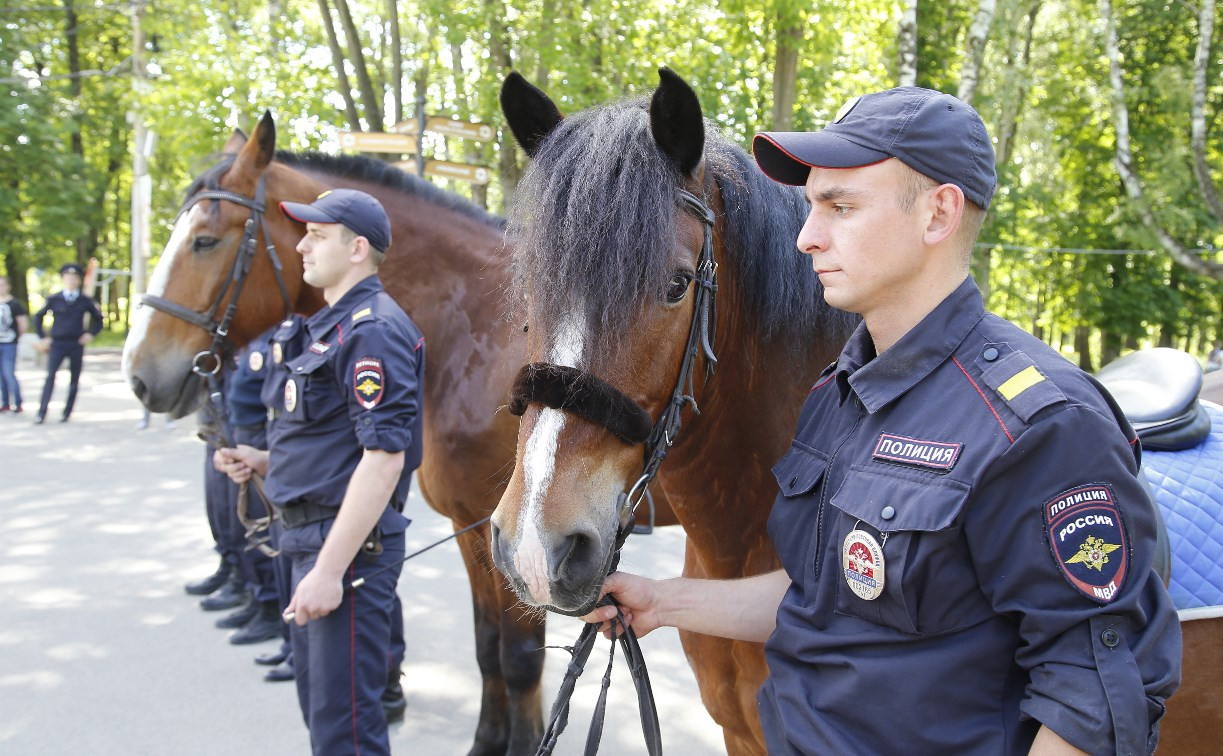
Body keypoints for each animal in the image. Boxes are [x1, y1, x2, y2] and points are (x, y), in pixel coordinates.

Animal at [120, 113, 545, 753]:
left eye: (205, 240)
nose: (139, 372)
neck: (481, 331)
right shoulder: (471, 532)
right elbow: (487, 648)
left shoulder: (518, 544)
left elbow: (519, 661)